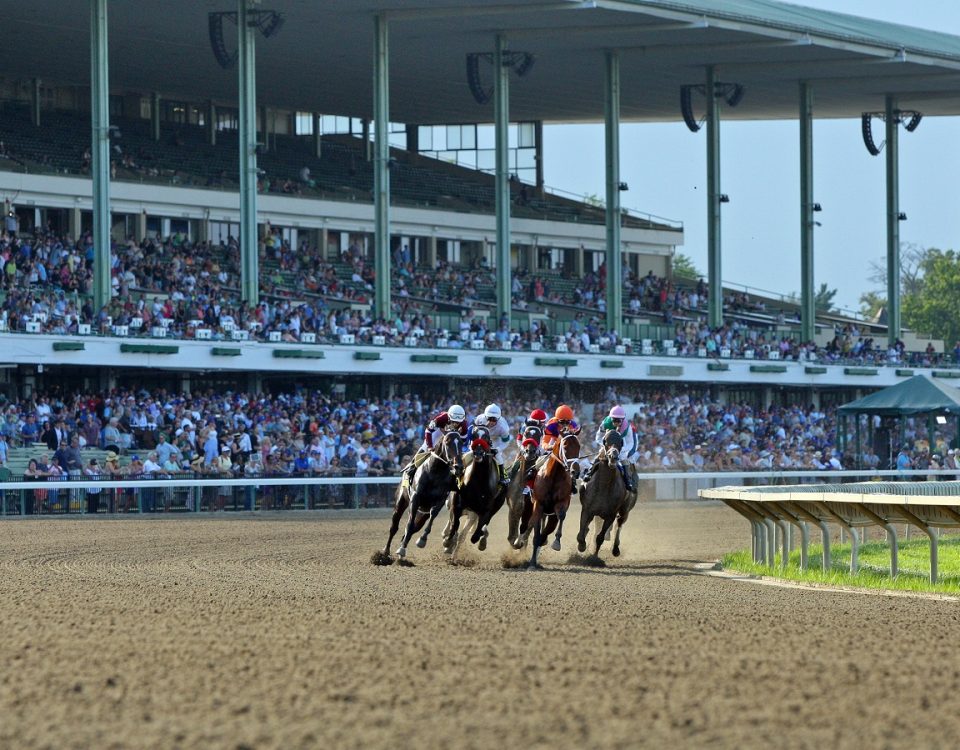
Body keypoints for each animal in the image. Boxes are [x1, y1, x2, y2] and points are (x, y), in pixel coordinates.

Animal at [524, 434, 576, 568]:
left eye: (579, 447)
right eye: (565, 447)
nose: (575, 470)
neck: (553, 476)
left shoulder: (561, 503)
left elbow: (560, 517)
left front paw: (556, 543)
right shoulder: (539, 504)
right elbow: (535, 530)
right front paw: (532, 563)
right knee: (531, 524)